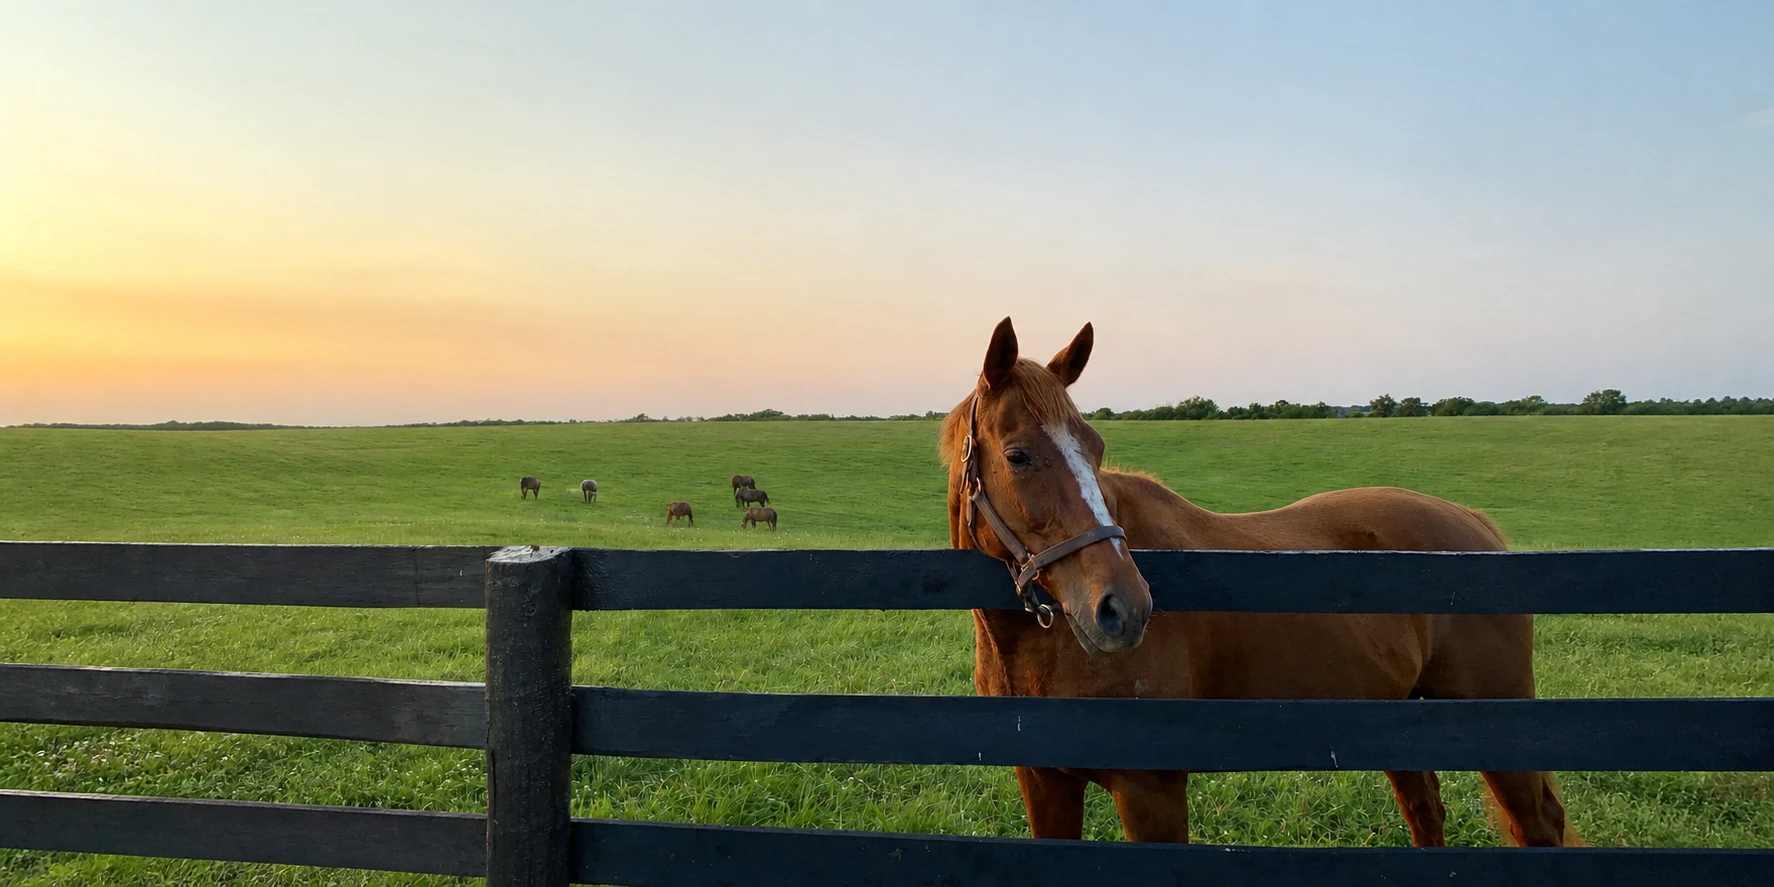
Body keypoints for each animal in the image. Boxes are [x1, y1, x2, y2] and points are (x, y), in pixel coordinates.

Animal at [939, 317, 1581, 849]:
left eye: (1096, 450)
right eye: (1018, 455)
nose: (1124, 608)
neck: (1041, 653)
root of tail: (1473, 522)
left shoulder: (1151, 788)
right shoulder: (1044, 783)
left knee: (1538, 825)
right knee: (1427, 815)